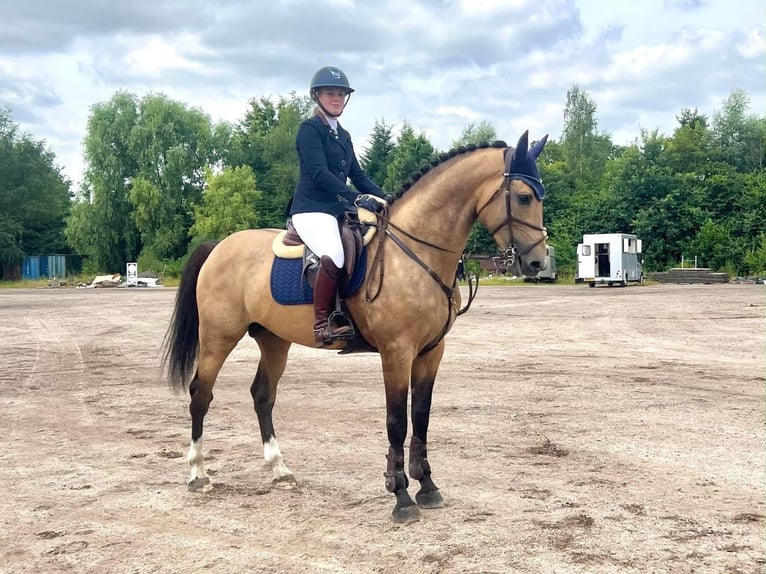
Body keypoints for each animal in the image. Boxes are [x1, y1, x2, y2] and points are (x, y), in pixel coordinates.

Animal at [163, 130, 549, 523]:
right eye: (523, 196)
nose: (538, 262)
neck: (416, 253)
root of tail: (219, 246)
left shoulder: (431, 352)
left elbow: (421, 417)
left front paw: (427, 487)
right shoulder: (397, 352)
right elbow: (397, 421)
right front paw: (401, 497)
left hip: (273, 340)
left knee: (262, 396)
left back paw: (280, 471)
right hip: (218, 337)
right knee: (201, 394)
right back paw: (198, 474)